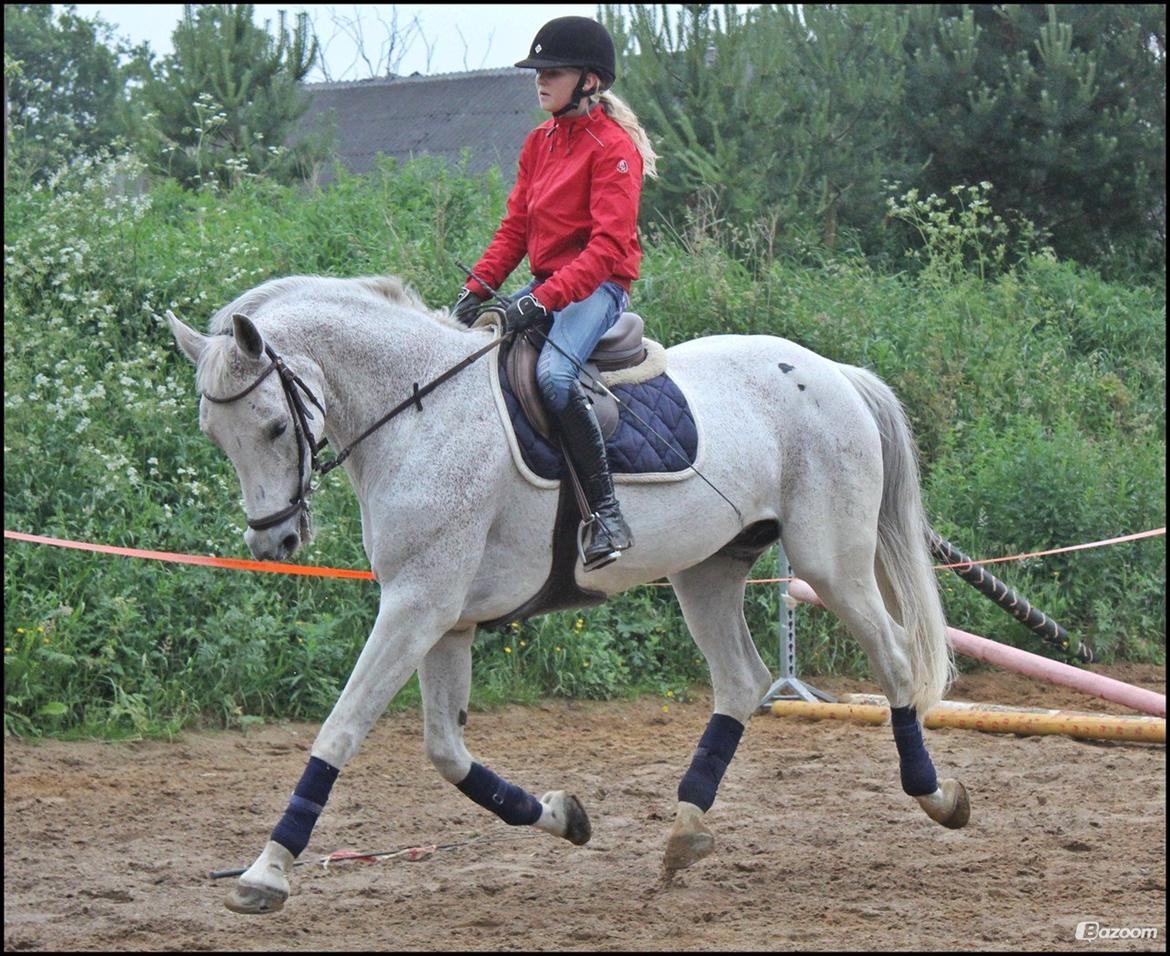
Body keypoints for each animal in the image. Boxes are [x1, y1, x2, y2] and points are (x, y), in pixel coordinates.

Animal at [167, 272, 968, 912]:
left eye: (275, 426)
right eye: (215, 435)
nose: (274, 543)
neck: (422, 415)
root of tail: (830, 370)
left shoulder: (417, 604)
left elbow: (340, 728)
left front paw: (267, 872)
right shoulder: (445, 618)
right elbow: (446, 750)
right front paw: (562, 815)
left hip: (831, 564)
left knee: (895, 660)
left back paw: (937, 796)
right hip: (708, 568)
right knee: (742, 681)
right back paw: (685, 834)